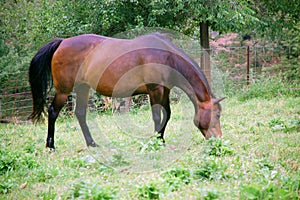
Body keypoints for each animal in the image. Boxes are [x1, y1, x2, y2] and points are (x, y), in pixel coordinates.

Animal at [28, 33, 225, 150]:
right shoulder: (154, 90)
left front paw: (160, 139)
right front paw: (156, 141)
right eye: (217, 115)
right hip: (64, 90)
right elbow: (157, 116)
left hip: (82, 88)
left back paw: (92, 143)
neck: (166, 56)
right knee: (53, 112)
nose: (218, 139)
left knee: (80, 114)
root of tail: (62, 43)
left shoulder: (165, 90)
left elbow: (167, 115)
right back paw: (51, 145)